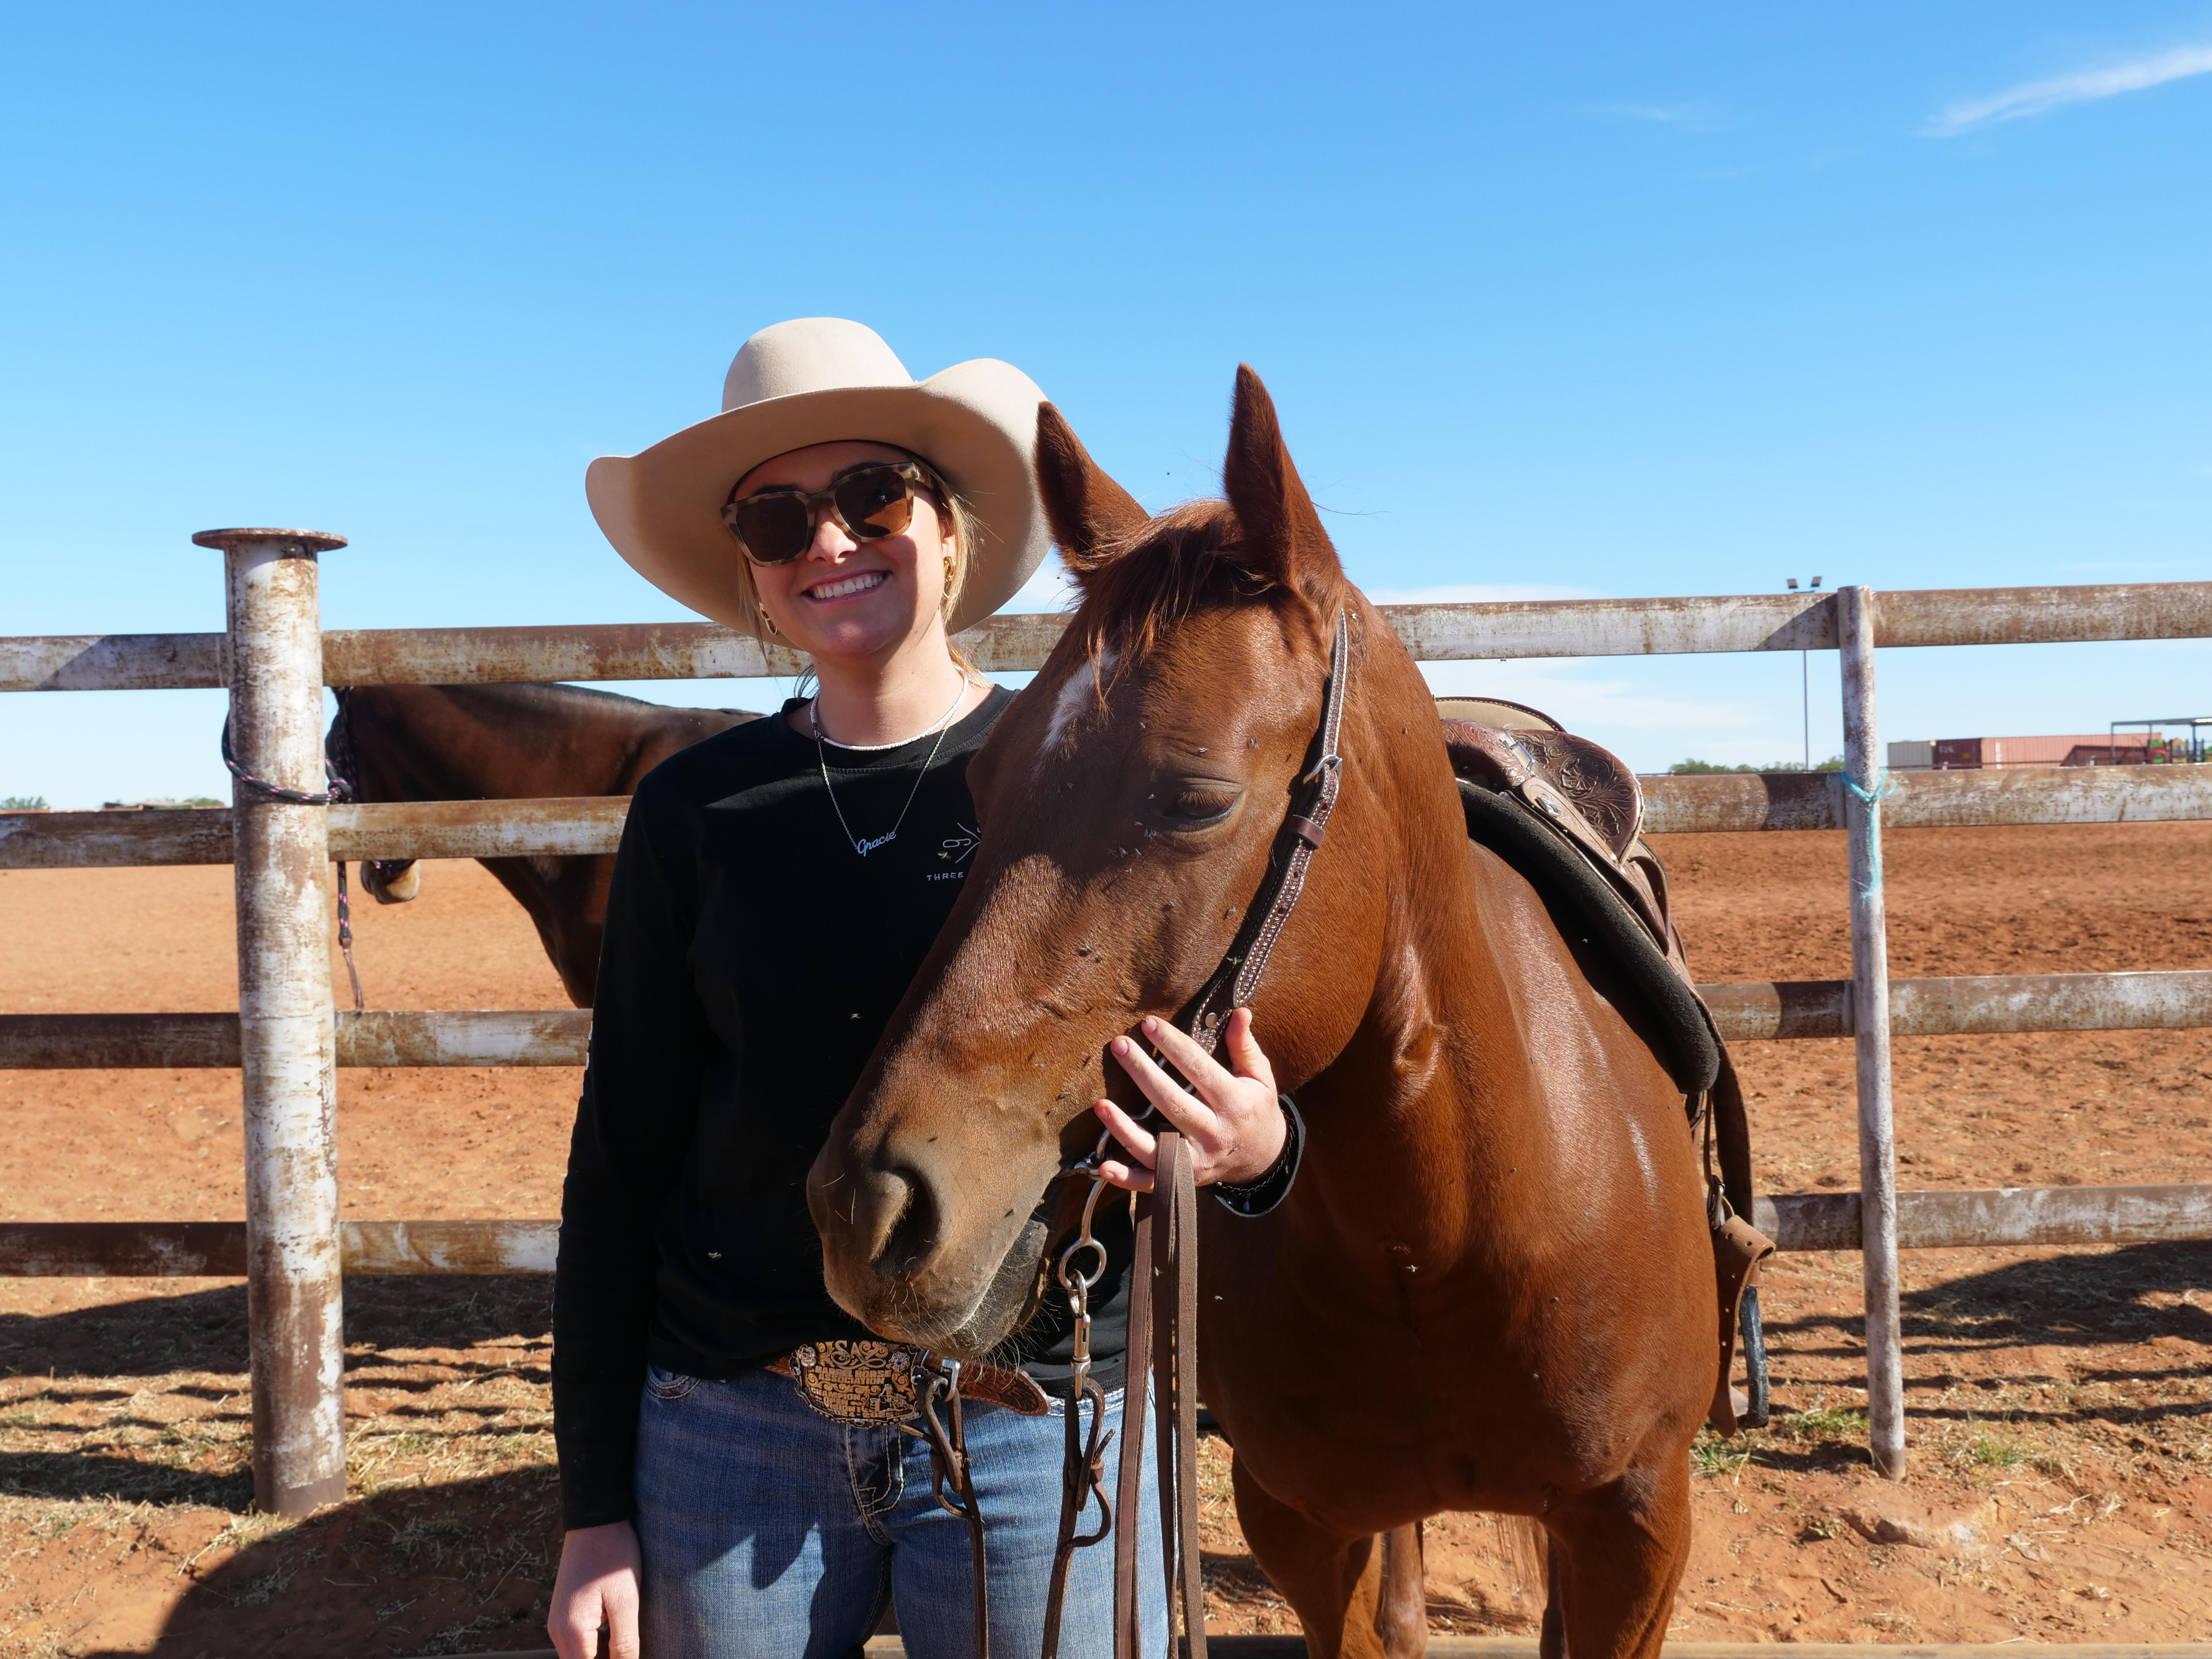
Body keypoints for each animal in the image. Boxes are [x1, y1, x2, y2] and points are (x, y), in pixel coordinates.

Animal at [807, 370, 1719, 1657]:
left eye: (1196, 797)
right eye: (983, 782)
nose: (868, 1207)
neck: (1453, 1232)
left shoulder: (1637, 1532)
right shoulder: (1301, 1523)